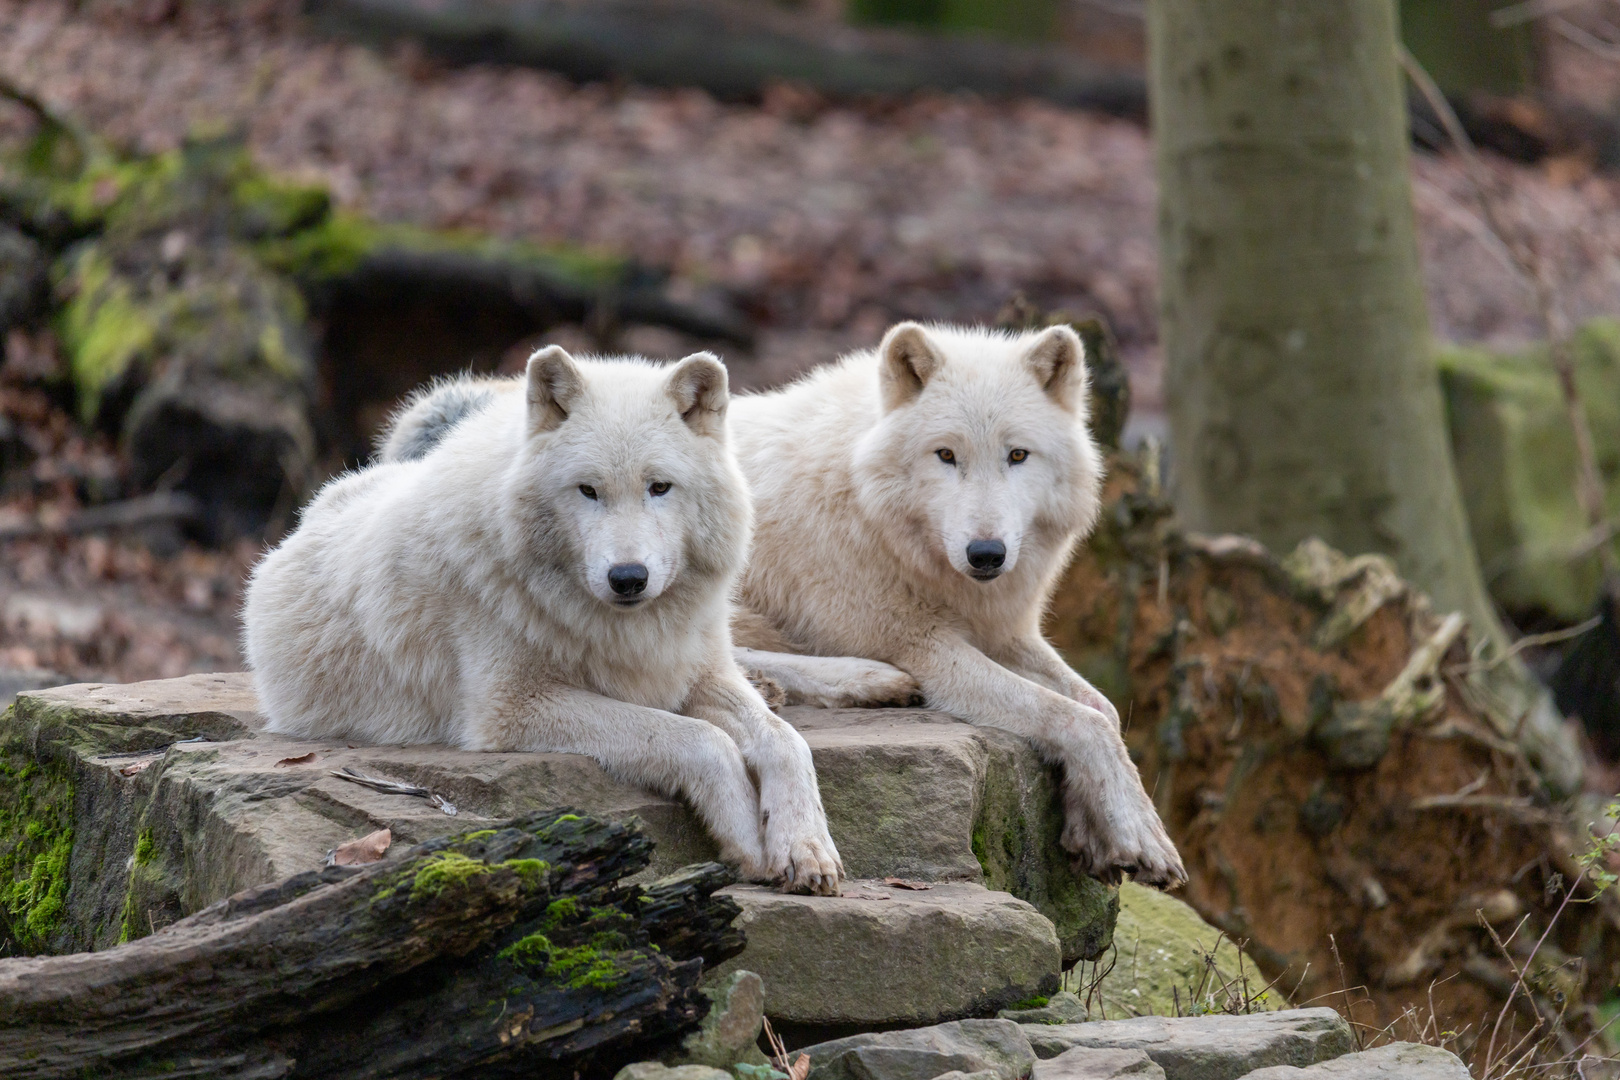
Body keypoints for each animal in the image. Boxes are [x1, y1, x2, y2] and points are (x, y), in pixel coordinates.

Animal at [244, 346, 848, 893]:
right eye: (588, 490)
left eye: (659, 487)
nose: (628, 578)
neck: (617, 627)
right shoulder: (512, 709)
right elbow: (701, 739)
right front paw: (748, 838)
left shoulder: (697, 671)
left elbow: (786, 741)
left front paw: (806, 846)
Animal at [729, 323, 1185, 887]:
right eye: (945, 455)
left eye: (1018, 455)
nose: (986, 554)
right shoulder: (923, 646)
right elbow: (1079, 719)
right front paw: (1139, 835)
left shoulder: (1006, 633)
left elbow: (1103, 708)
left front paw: (1094, 825)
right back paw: (855, 680)